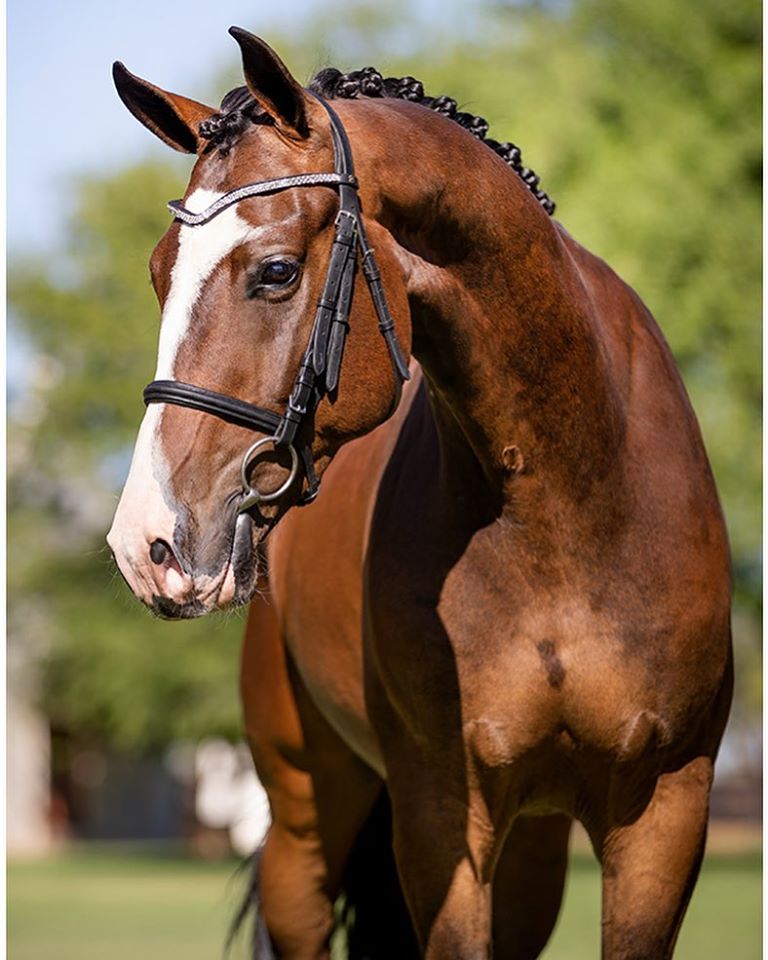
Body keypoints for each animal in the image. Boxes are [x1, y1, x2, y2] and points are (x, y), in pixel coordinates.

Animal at [106, 30, 732, 960]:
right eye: (158, 274)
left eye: (277, 271)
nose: (146, 545)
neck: (568, 511)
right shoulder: (443, 821)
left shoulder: (664, 815)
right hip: (304, 823)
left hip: (532, 847)